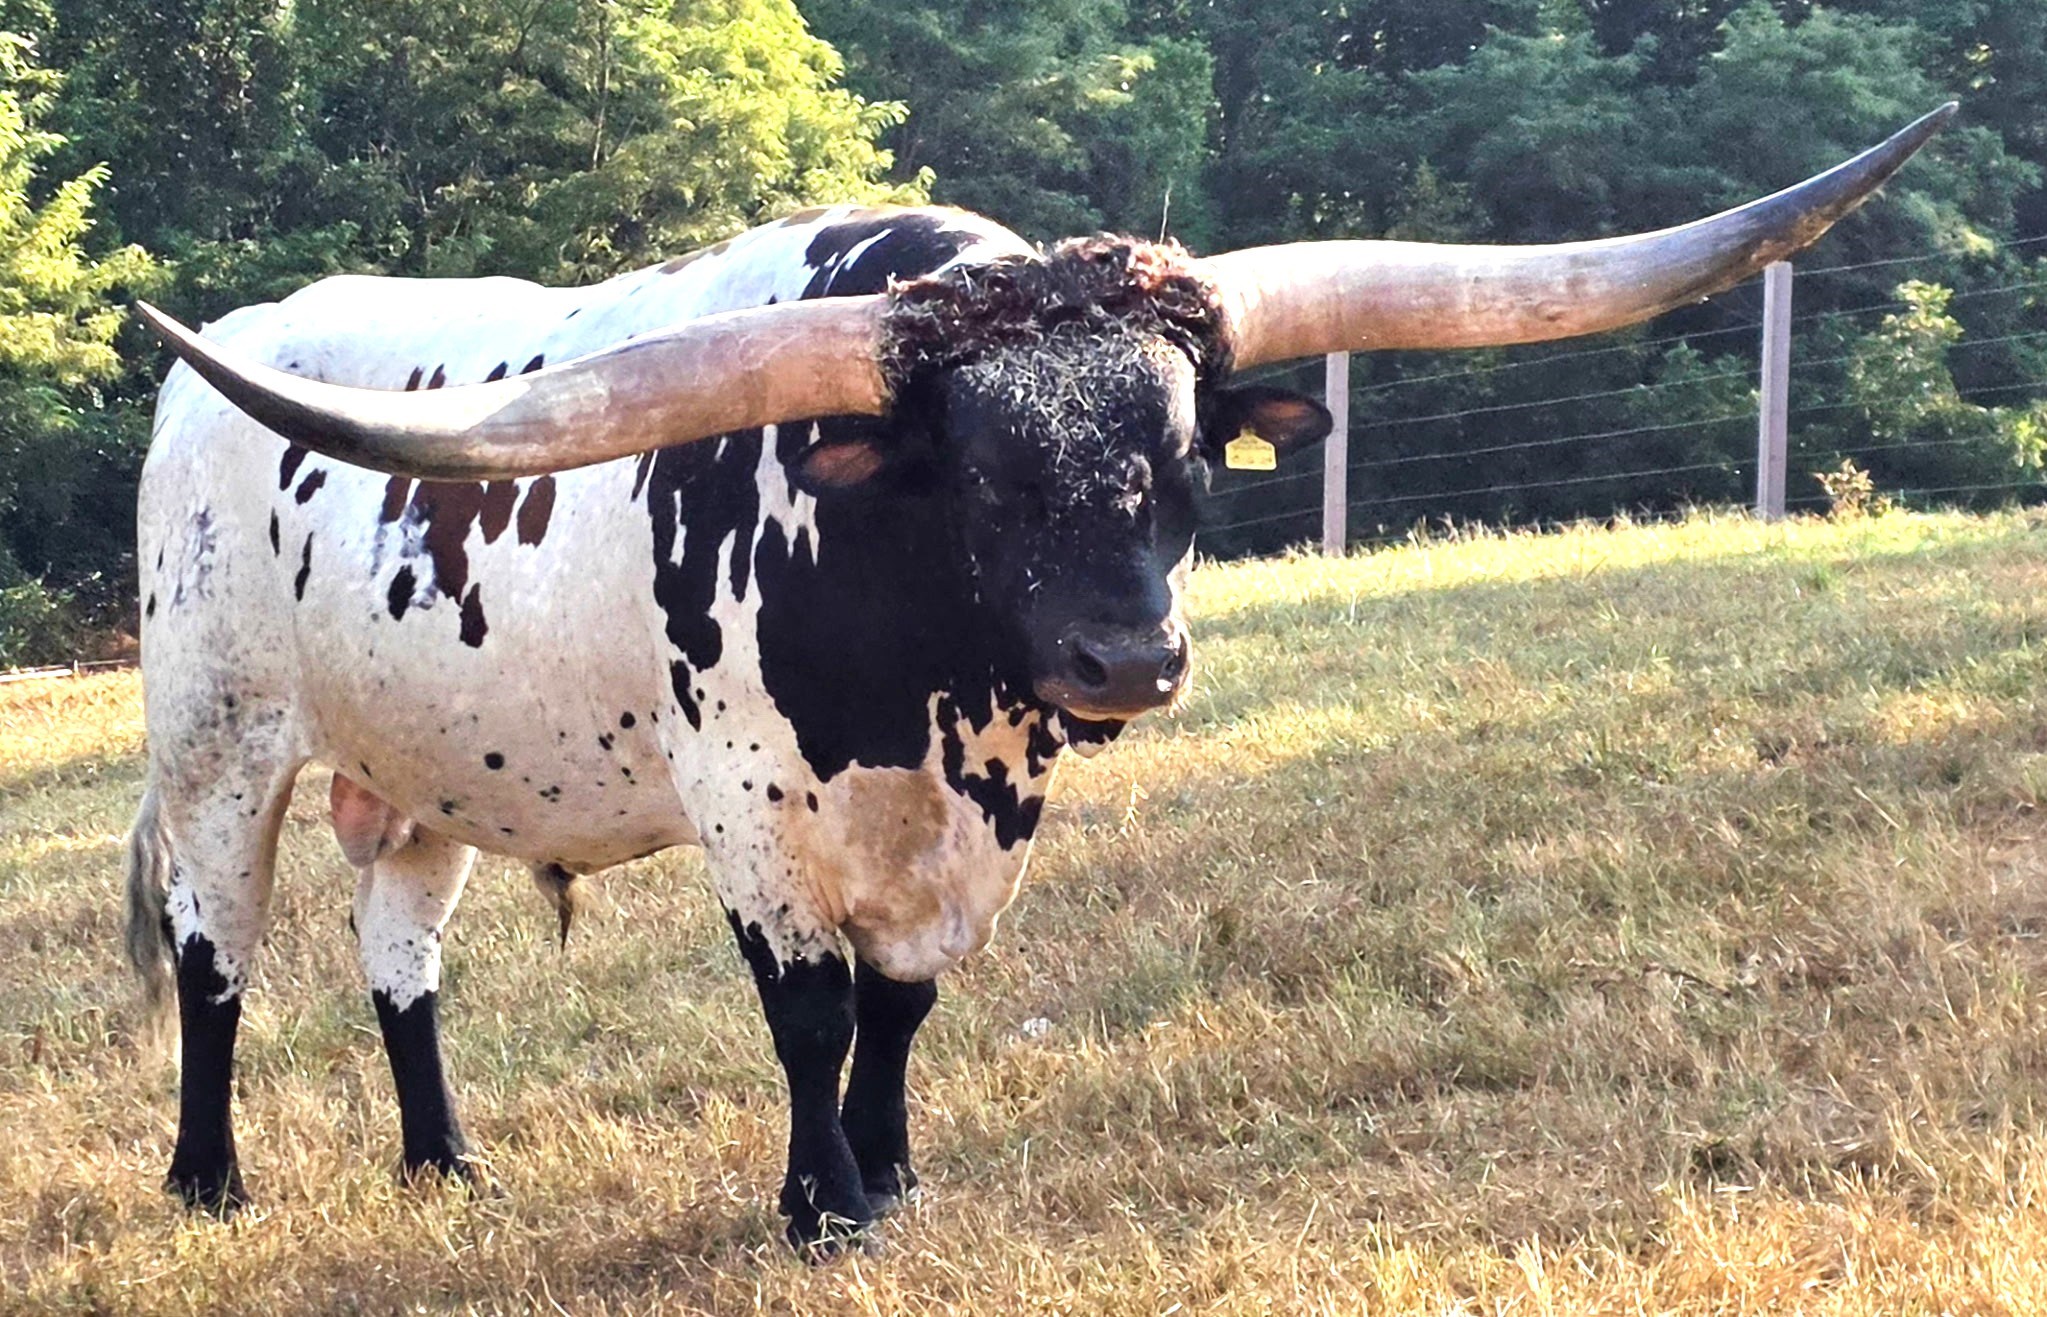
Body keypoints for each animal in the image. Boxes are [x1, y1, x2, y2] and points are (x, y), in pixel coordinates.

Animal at [128, 106, 1952, 1252]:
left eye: (1188, 463)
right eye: (987, 483)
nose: (1129, 658)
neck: (923, 693)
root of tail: (221, 374)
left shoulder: (976, 815)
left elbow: (898, 1008)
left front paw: (891, 1170)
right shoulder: (747, 805)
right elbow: (806, 1008)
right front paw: (820, 1208)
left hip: (423, 773)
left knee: (400, 960)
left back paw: (446, 1163)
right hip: (217, 741)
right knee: (217, 962)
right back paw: (208, 1182)